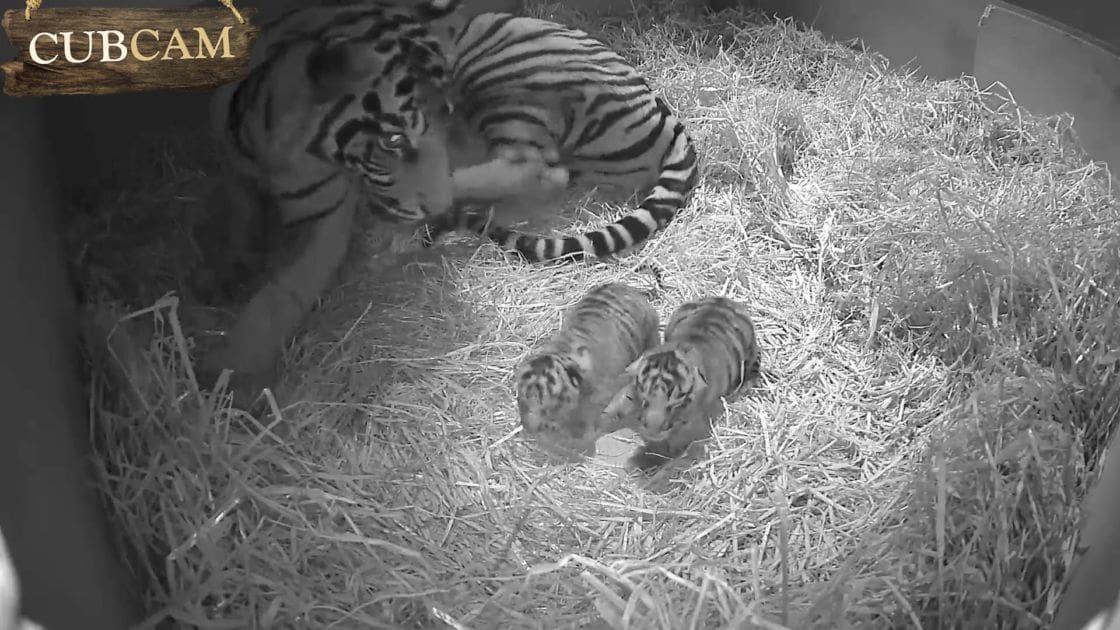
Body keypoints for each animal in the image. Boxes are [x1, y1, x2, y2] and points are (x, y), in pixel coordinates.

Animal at [197, 0, 566, 404]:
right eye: (393, 140)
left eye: (444, 121)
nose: (438, 207)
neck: (278, 149)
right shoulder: (234, 166)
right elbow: (242, 214)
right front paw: (231, 271)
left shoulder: (325, 223)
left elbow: (280, 293)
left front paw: (232, 374)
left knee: (529, 162)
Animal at [601, 296, 761, 468]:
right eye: (644, 401)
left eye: (674, 405)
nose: (652, 430)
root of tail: (722, 299)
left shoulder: (691, 424)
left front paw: (647, 458)